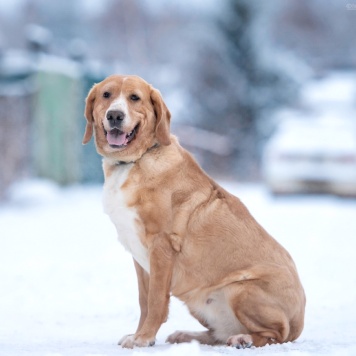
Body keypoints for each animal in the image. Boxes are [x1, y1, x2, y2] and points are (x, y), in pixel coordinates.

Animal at [83, 73, 306, 350]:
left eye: (134, 98)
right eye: (106, 95)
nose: (115, 115)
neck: (136, 160)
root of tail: (300, 322)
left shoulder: (161, 247)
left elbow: (155, 301)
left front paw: (144, 338)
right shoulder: (139, 256)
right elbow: (144, 301)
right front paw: (137, 335)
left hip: (241, 289)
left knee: (274, 335)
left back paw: (243, 339)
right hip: (200, 301)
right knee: (218, 335)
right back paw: (187, 335)